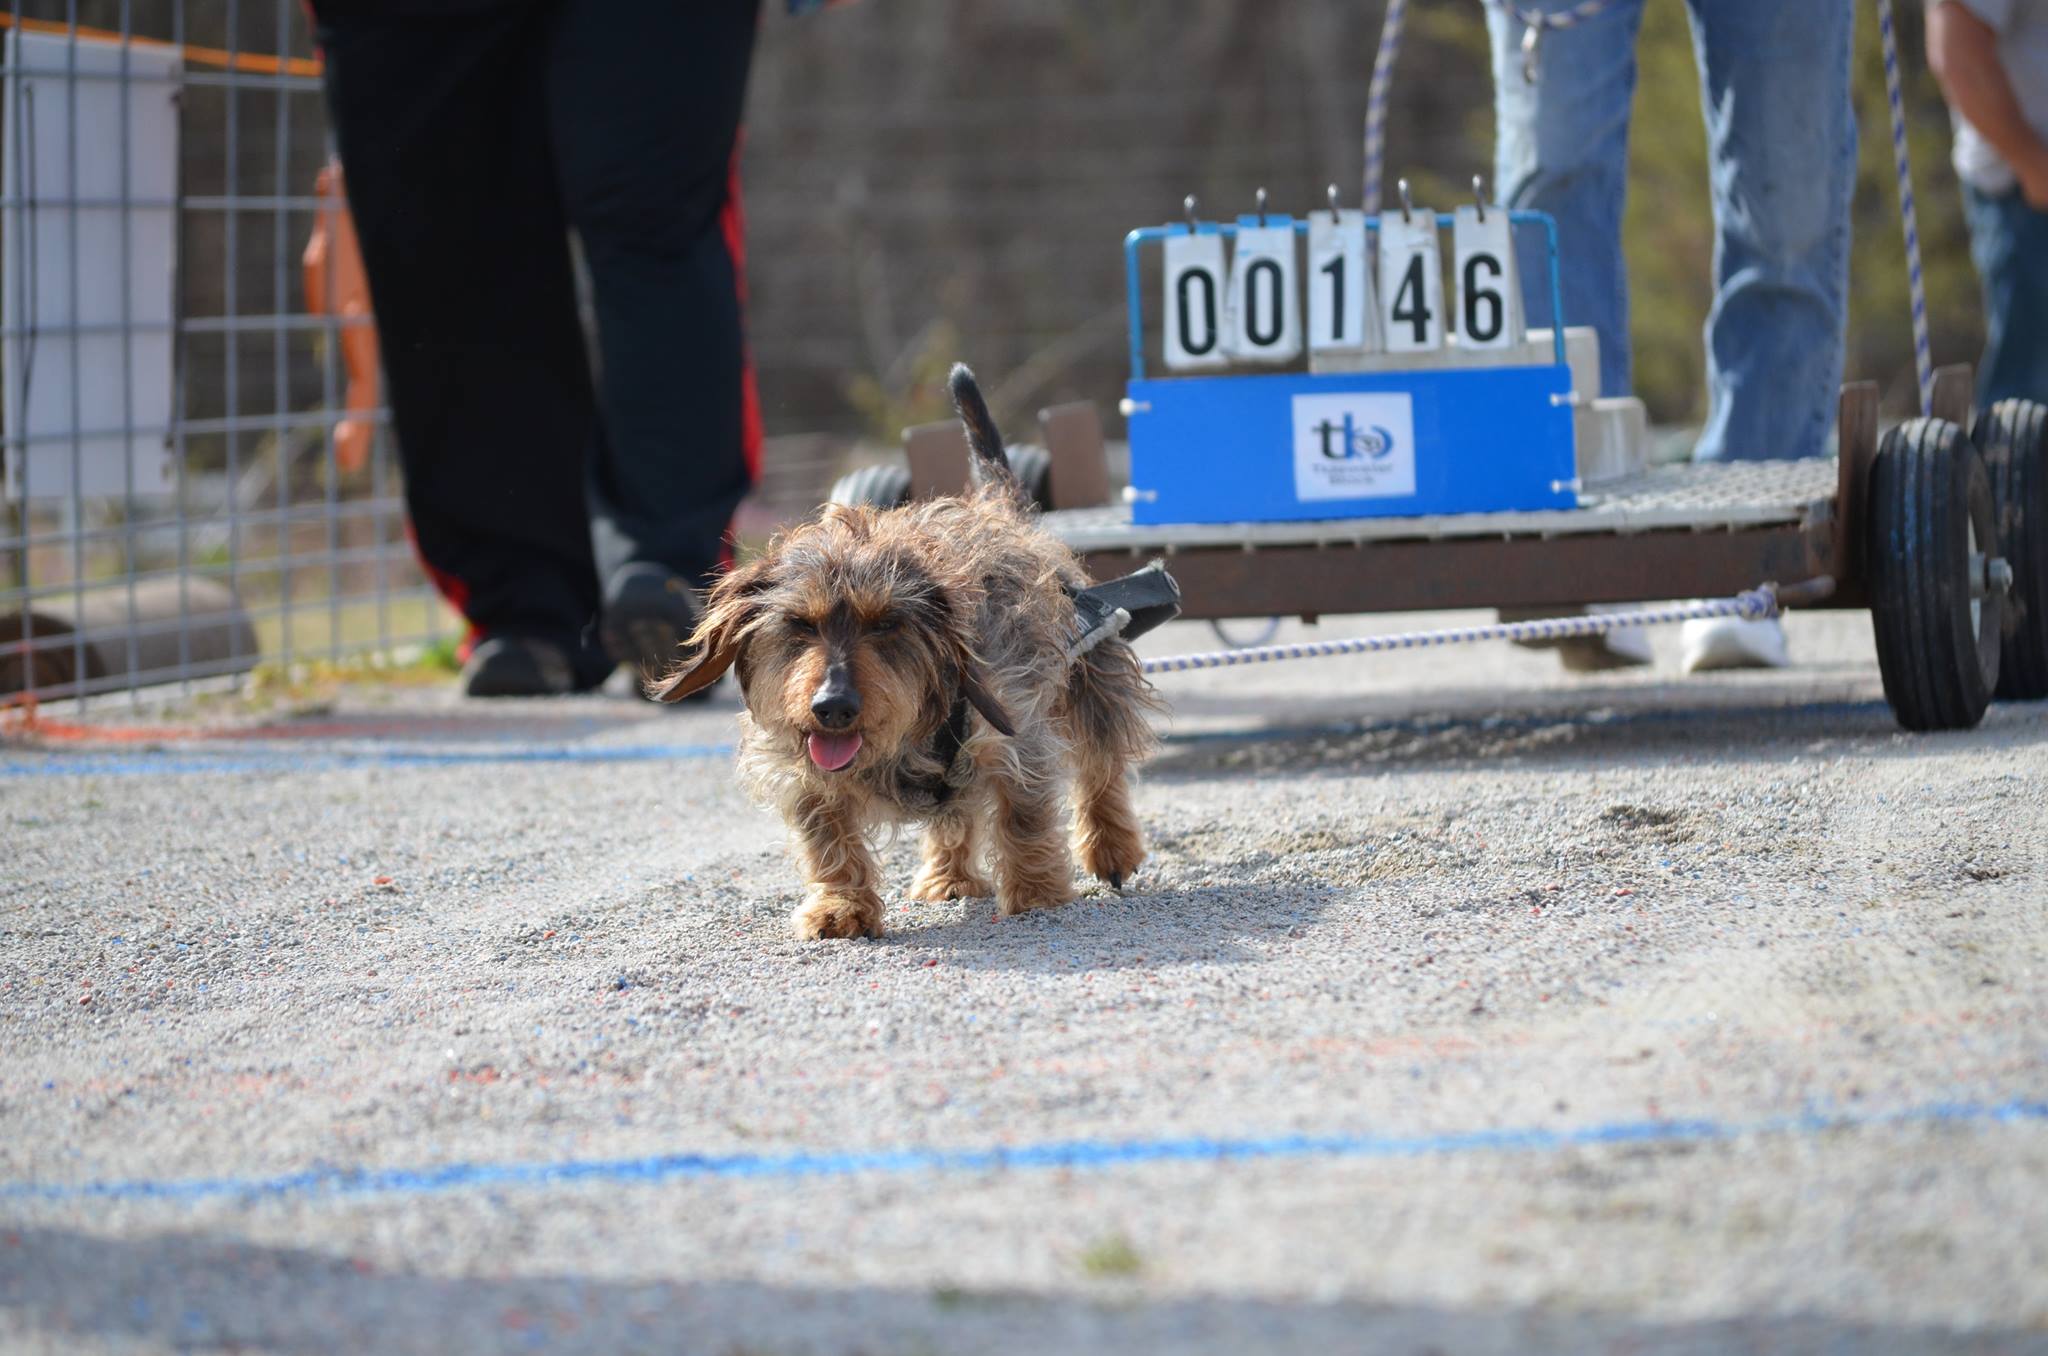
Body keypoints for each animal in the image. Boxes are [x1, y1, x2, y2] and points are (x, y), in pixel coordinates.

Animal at [655, 360, 1171, 942]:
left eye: (886, 624)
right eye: (800, 624)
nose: (833, 707)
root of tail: (1003, 511)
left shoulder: (1017, 734)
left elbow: (1025, 815)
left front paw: (1037, 893)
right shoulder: (806, 775)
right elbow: (828, 839)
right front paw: (840, 906)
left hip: (1091, 680)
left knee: (1101, 772)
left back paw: (1110, 847)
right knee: (955, 814)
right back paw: (949, 876)